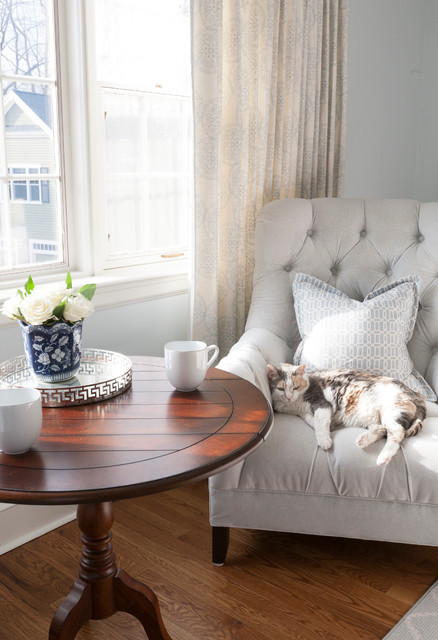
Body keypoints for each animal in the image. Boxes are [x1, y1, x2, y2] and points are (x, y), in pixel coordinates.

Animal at [266, 364, 424, 464]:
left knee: (397, 432)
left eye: (295, 387)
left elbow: (320, 423)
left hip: (393, 409)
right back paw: (363, 440)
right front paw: (328, 427)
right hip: (373, 416)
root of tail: (417, 396)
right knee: (381, 429)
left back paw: (383, 458)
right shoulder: (302, 412)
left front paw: (324, 441)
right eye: (280, 388)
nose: (288, 397)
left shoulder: (321, 403)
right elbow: (312, 421)